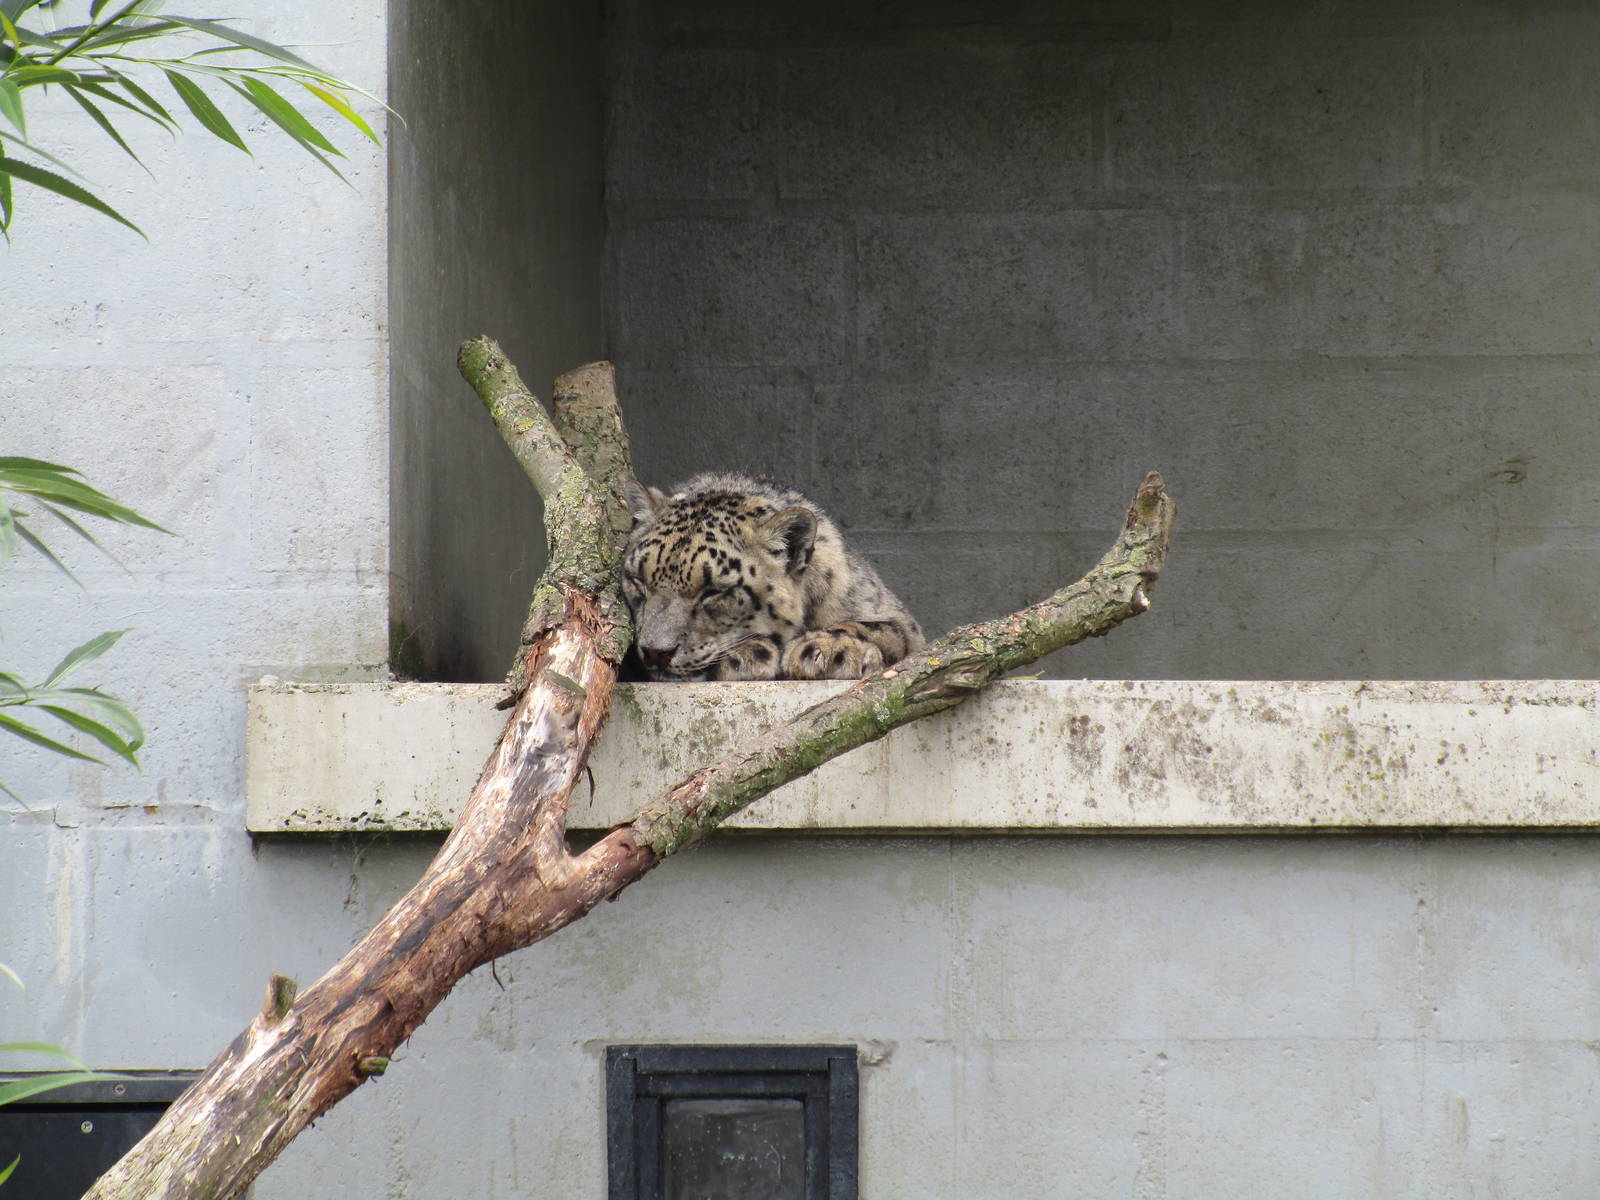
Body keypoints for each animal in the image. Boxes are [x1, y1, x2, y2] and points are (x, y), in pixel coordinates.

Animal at [622, 472, 924, 681]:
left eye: (714, 591)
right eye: (637, 579)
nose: (655, 652)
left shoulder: (892, 615)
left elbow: (885, 628)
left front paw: (830, 649)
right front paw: (746, 654)